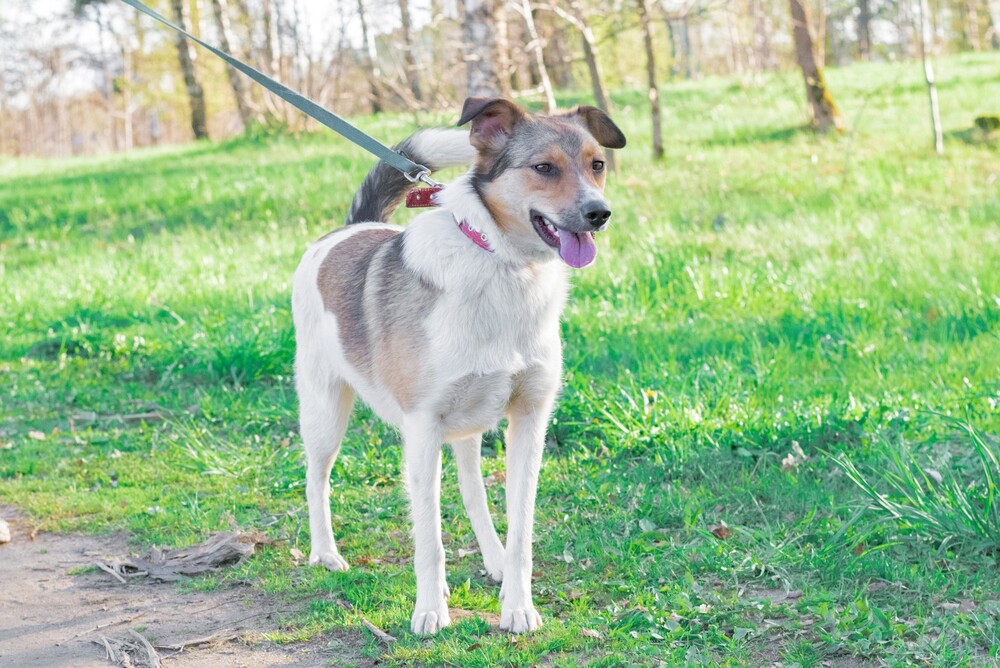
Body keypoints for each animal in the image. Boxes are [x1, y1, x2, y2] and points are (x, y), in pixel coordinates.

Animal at [290, 96, 628, 636]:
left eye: (597, 164)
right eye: (543, 168)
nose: (599, 213)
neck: (505, 266)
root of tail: (350, 228)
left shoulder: (528, 421)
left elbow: (520, 529)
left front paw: (518, 605)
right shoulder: (422, 429)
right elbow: (429, 540)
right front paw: (430, 610)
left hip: (469, 424)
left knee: (473, 491)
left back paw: (492, 558)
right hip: (325, 410)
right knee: (316, 478)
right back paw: (325, 553)